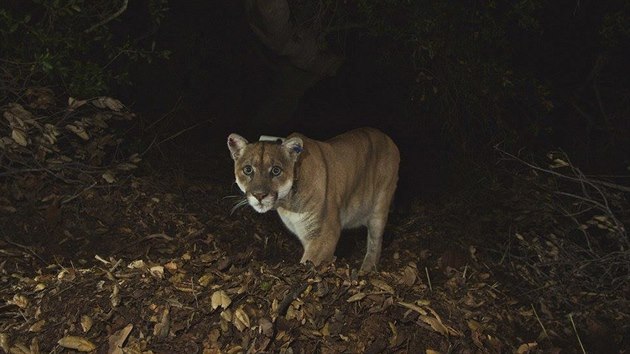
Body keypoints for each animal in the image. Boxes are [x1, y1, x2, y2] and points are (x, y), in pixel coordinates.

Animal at [230, 129, 402, 272]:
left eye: (276, 170)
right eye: (248, 169)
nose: (259, 195)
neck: (288, 203)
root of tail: (387, 138)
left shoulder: (324, 235)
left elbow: (309, 262)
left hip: (379, 206)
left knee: (375, 242)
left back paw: (366, 269)